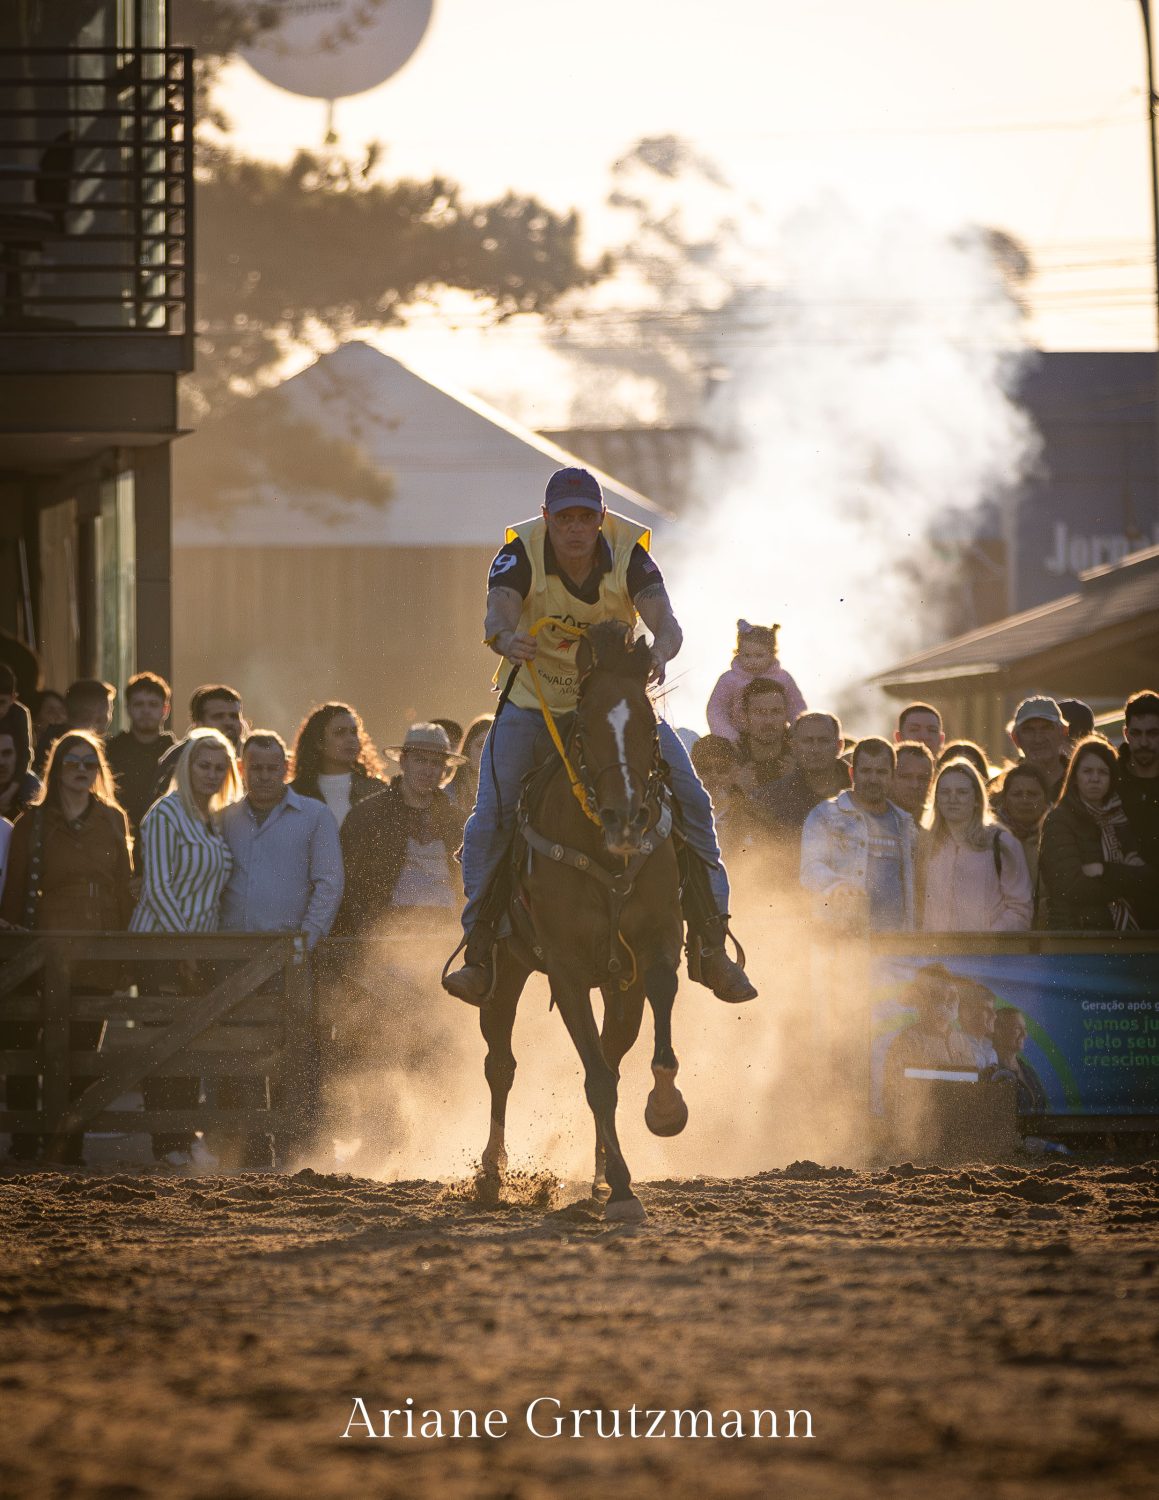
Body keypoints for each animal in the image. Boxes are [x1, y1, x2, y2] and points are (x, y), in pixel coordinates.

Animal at [473, 618, 686, 1218]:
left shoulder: (653, 945)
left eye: (649, 726)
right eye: (586, 729)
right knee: (500, 1064)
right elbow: (596, 1080)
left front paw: (665, 1107)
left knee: (611, 1053)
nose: (626, 816)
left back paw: (595, 1176)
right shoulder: (566, 970)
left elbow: (657, 1001)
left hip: (615, 990)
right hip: (504, 970)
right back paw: (492, 1173)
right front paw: (624, 1187)